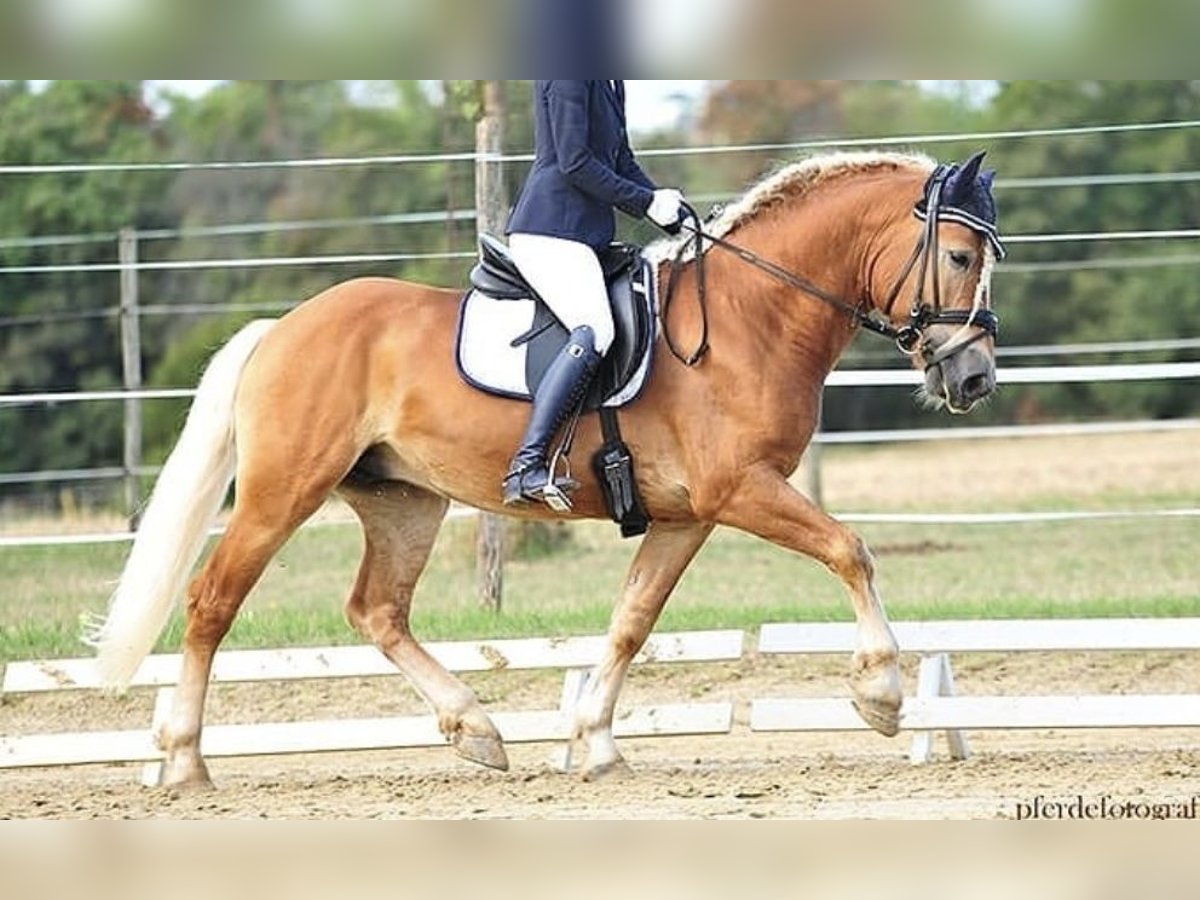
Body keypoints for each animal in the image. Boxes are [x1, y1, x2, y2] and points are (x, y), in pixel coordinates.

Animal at [90, 148, 1004, 787]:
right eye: (962, 257)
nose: (974, 379)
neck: (754, 315)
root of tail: (280, 328)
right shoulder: (740, 489)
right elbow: (851, 549)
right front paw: (881, 696)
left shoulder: (688, 514)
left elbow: (633, 620)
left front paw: (595, 742)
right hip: (283, 491)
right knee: (212, 601)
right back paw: (184, 762)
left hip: (403, 501)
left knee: (377, 611)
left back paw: (477, 731)